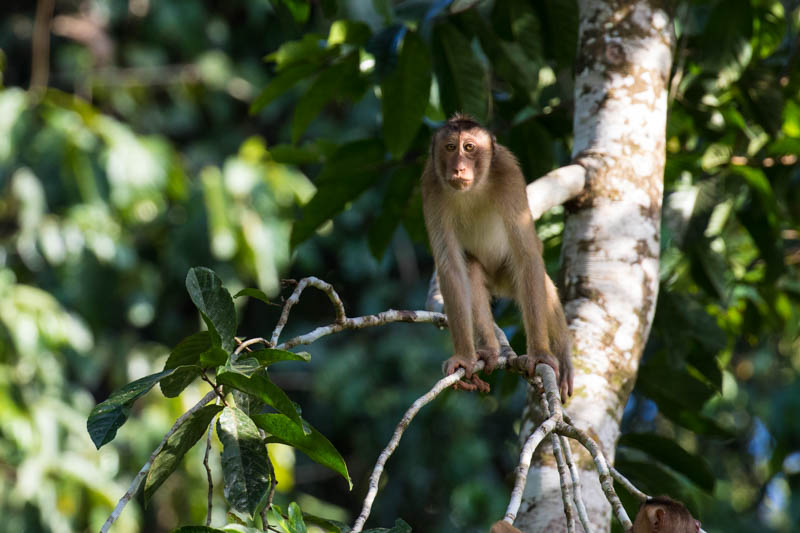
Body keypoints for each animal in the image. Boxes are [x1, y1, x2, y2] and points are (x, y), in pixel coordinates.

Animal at [422, 114, 572, 396]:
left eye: (469, 147)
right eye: (450, 147)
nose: (459, 168)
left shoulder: (508, 174)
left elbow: (527, 255)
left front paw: (540, 354)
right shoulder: (431, 187)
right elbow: (451, 268)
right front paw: (464, 357)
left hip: (507, 274)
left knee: (540, 282)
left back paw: (562, 355)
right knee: (470, 268)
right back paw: (489, 350)